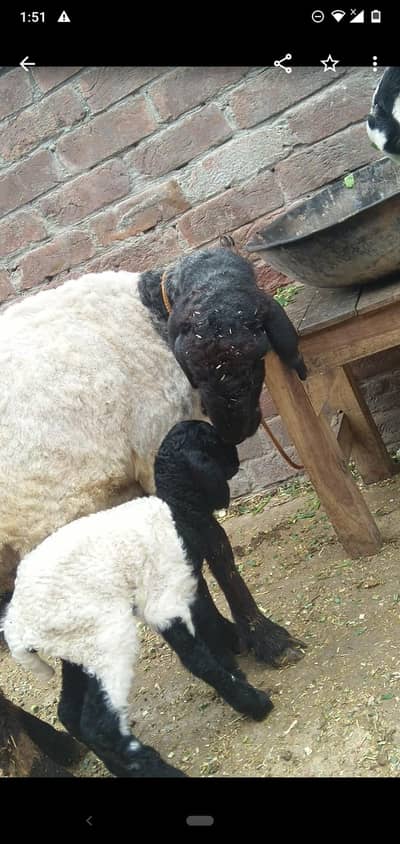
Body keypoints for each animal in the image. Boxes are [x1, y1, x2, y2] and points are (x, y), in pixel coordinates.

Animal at [0, 245, 305, 668]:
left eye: (257, 352)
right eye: (192, 366)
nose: (235, 430)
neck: (150, 313)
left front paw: (226, 636)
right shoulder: (160, 457)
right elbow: (214, 548)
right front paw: (265, 638)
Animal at [2, 421, 274, 778]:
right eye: (214, 443)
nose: (237, 455)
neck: (177, 507)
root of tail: (17, 627)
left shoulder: (180, 586)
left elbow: (207, 628)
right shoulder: (165, 598)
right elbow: (197, 657)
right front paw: (251, 702)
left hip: (76, 648)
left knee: (68, 713)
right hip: (106, 638)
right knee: (98, 724)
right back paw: (160, 770)